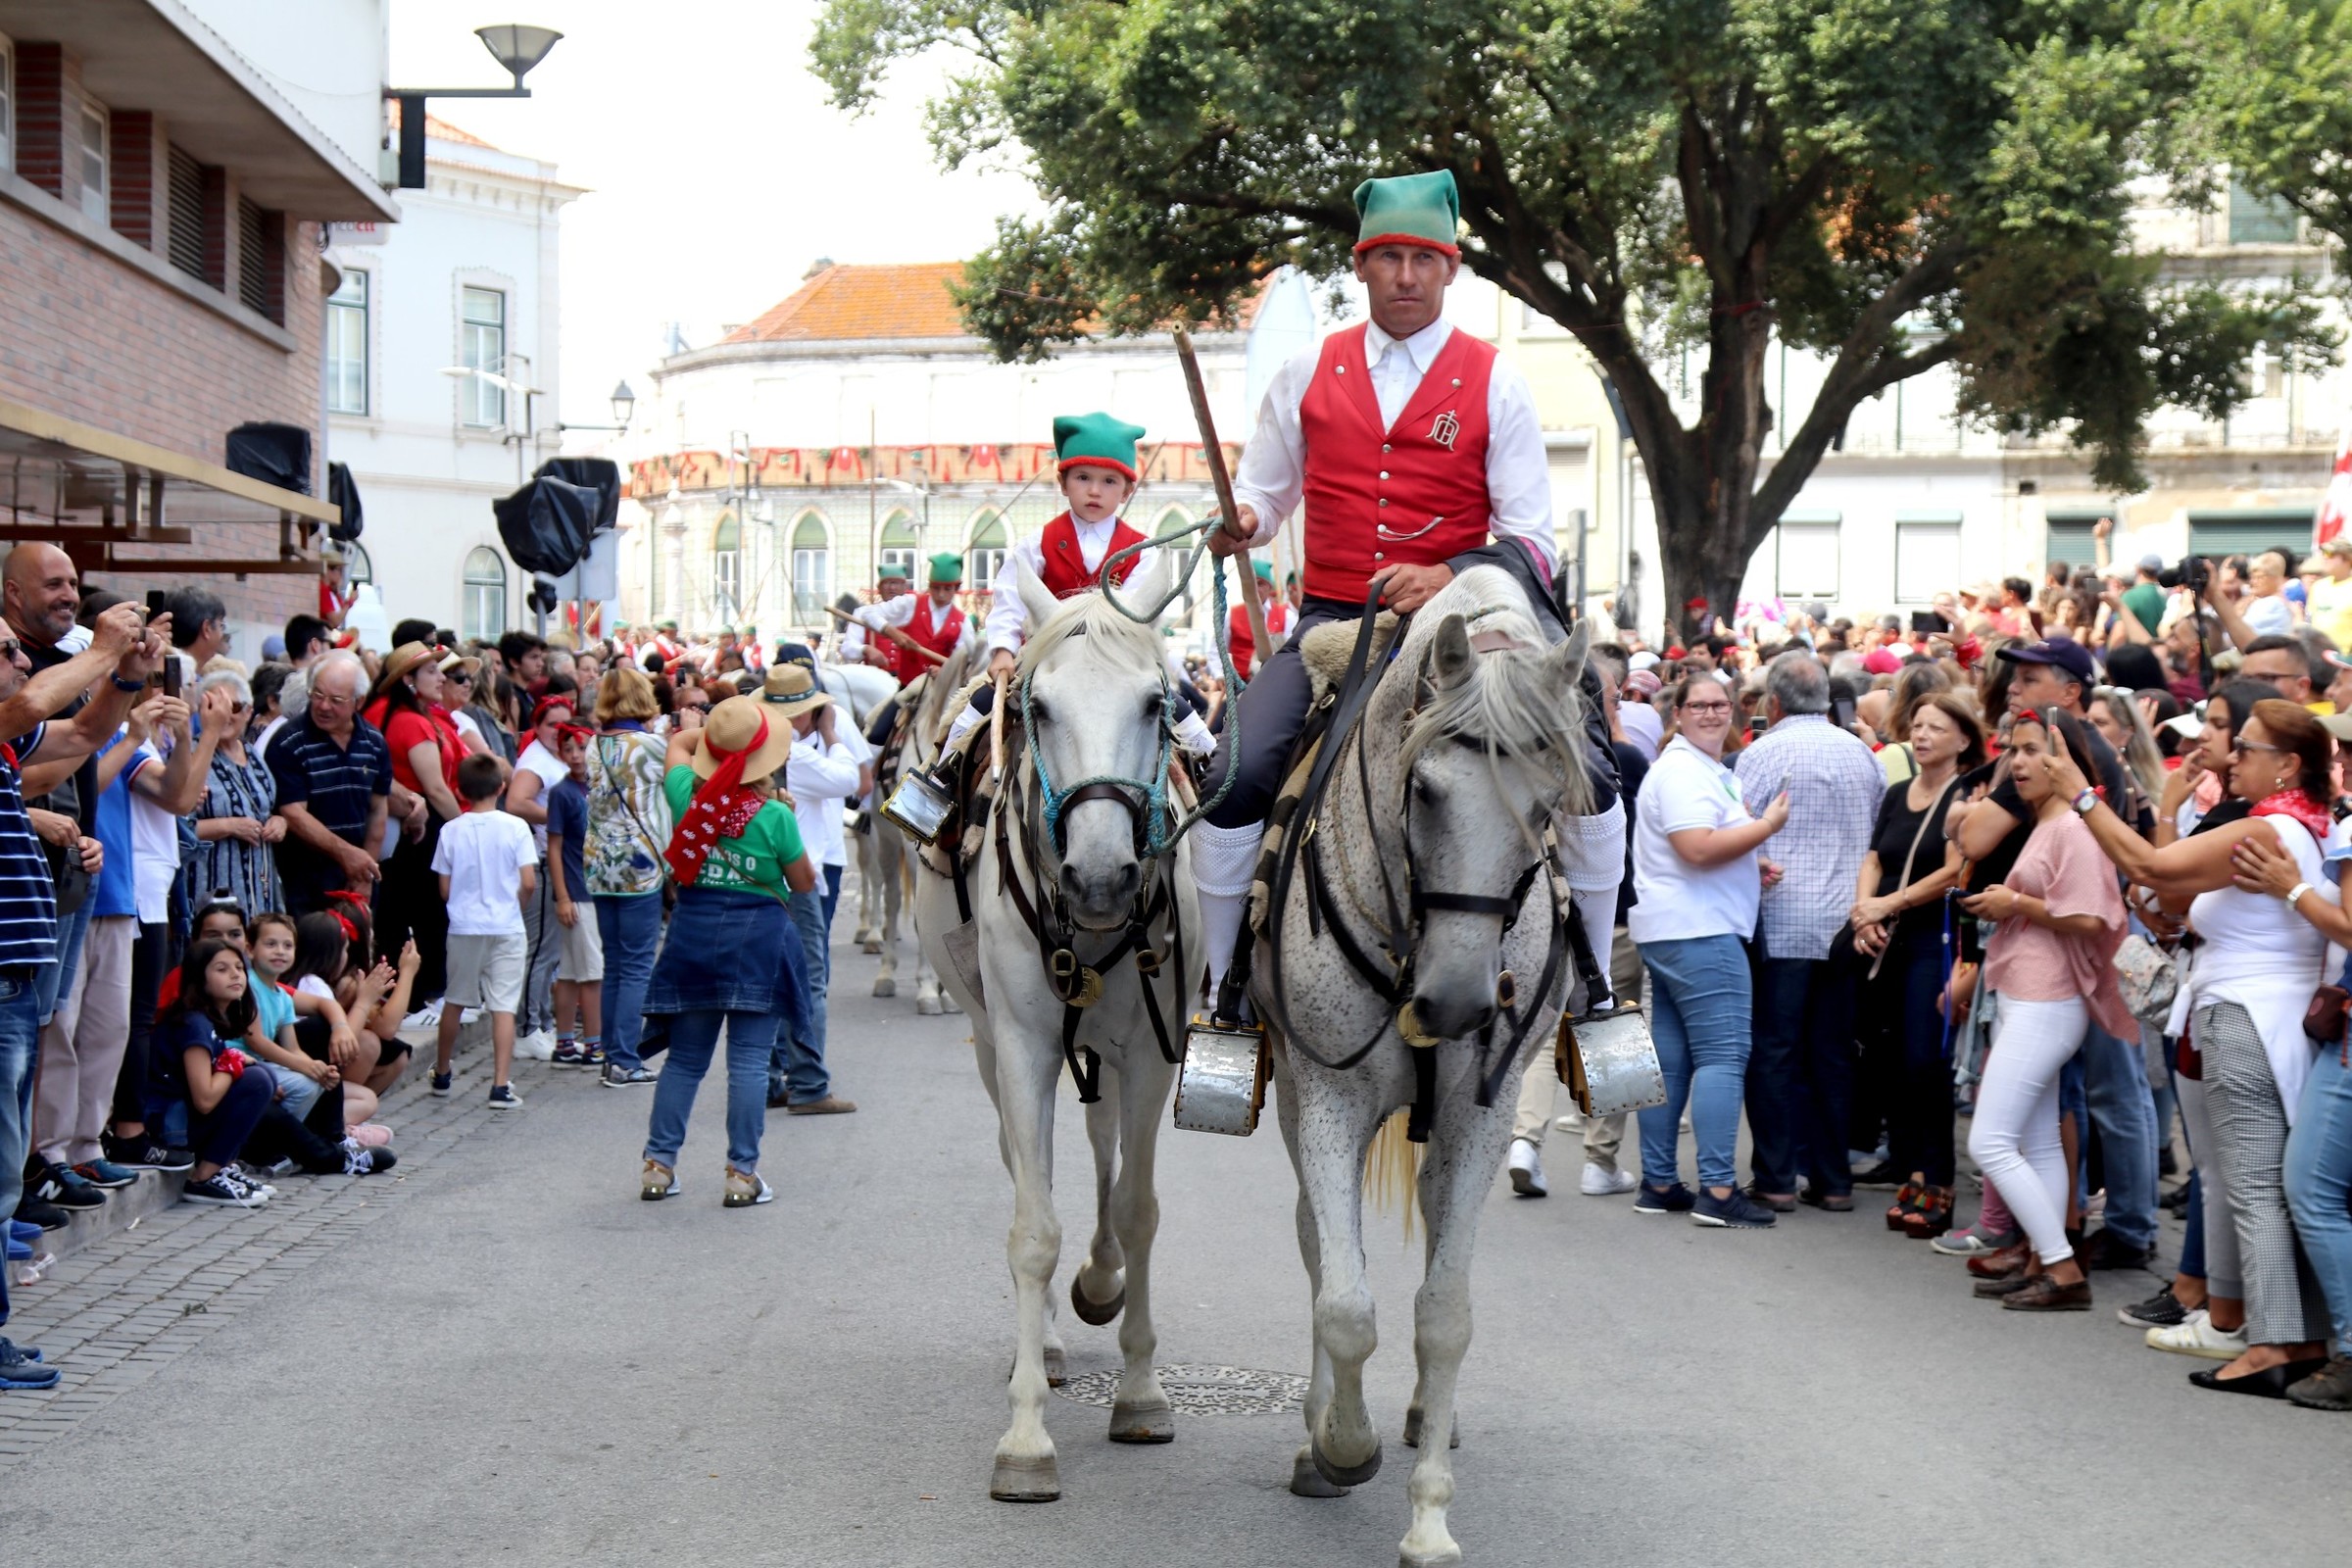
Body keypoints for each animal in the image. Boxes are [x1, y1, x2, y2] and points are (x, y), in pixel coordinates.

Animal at [917, 545, 1203, 1504]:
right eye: (1037, 706)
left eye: (1158, 703)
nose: (1102, 874)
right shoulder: (1024, 1047)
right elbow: (1033, 1228)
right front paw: (1026, 1436)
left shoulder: (1152, 1052)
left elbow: (1140, 1208)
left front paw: (1142, 1390)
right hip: (993, 1045)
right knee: (1023, 1162)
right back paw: (1039, 1342)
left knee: (1105, 1150)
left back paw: (1100, 1282)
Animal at [1250, 566, 1599, 1568]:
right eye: (1428, 792)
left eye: (1546, 804)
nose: (1456, 1004)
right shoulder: (1328, 1097)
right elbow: (1345, 1301)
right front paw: (1340, 1444)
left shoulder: (1483, 1115)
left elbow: (1444, 1315)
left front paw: (1430, 1519)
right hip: (1296, 1104)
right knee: (1316, 1245)